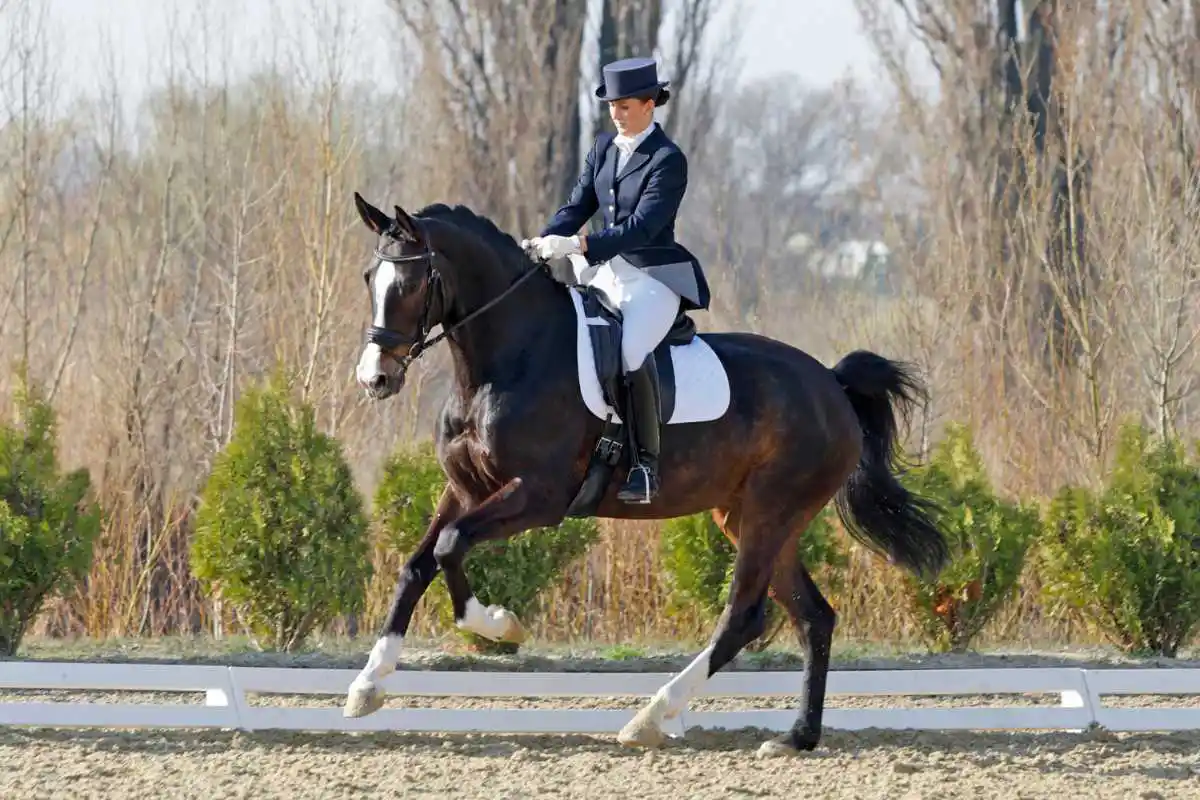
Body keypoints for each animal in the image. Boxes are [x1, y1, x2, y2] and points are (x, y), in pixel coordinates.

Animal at [343, 192, 950, 757]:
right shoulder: (466, 489)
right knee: (813, 618)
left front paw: (498, 623)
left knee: (744, 616)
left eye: (413, 284)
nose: (376, 379)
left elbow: (450, 546)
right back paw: (796, 737)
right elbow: (418, 564)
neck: (507, 359)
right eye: (370, 278)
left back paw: (653, 717)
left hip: (771, 512)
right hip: (747, 516)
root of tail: (831, 383)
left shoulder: (538, 497)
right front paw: (368, 685)